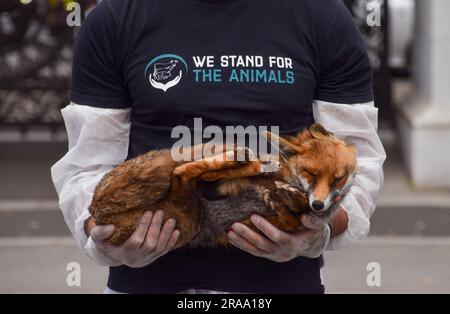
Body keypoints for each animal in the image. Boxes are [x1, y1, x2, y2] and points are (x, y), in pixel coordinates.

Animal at [89, 124, 356, 249]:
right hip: (171, 171)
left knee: (181, 175)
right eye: (311, 174)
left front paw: (285, 198)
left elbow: (290, 215)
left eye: (338, 179)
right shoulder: (228, 183)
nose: (318, 205)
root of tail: (95, 211)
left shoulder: (277, 225)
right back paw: (235, 154)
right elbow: (220, 175)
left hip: (189, 218)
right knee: (183, 168)